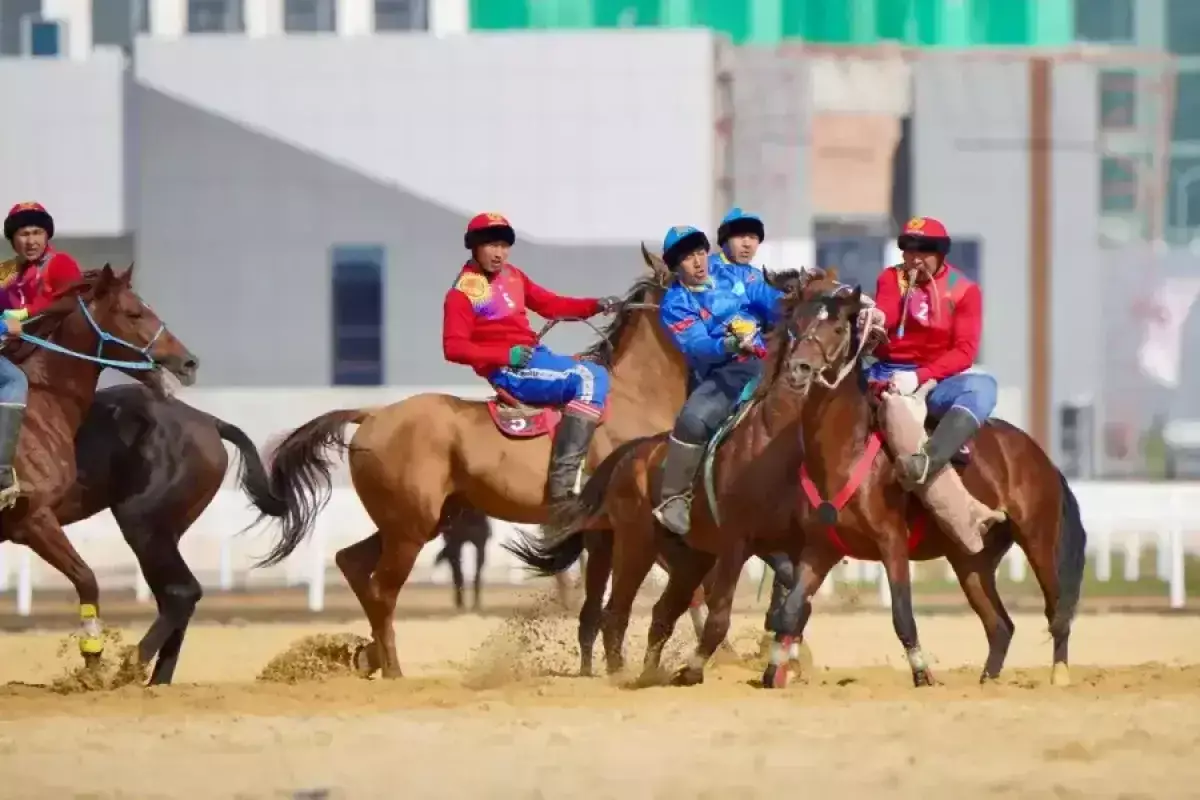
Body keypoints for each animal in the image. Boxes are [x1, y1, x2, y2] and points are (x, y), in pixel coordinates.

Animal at [2, 266, 199, 666]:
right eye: (134, 313)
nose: (187, 361)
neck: (42, 406)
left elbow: (86, 579)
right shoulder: (34, 519)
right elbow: (87, 579)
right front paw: (92, 658)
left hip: (149, 528)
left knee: (179, 593)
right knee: (178, 594)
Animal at [66, 383, 286, 686]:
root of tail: (209, 421)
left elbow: (84, 578)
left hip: (142, 524)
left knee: (182, 591)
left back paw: (130, 670)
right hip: (165, 532)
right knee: (175, 595)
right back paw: (156, 680)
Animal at [259, 248, 700, 676]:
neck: (633, 398)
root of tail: (373, 415)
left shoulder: (604, 529)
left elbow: (603, 603)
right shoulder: (635, 522)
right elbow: (681, 587)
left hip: (421, 522)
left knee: (352, 563)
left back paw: (370, 656)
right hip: (409, 530)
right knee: (382, 590)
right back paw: (393, 670)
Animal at [758, 287, 1089, 690]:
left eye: (837, 327)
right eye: (798, 324)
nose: (799, 368)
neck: (846, 453)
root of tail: (1041, 457)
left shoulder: (892, 544)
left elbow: (902, 613)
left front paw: (922, 673)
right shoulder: (820, 549)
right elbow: (791, 610)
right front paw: (773, 671)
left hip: (1038, 542)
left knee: (1056, 610)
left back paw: (1060, 674)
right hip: (970, 560)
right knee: (1000, 625)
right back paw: (987, 680)